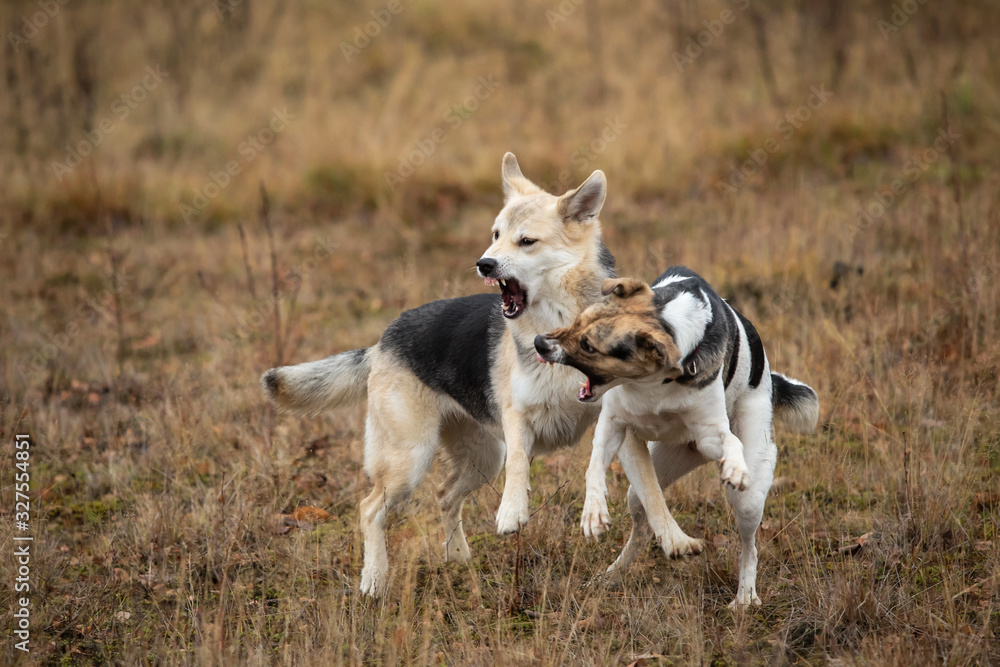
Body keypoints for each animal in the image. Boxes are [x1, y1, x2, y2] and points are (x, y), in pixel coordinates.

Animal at [536, 266, 816, 604]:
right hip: (652, 477)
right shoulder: (615, 424)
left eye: (589, 346)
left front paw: (735, 466)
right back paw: (614, 574)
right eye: (577, 321)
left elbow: (729, 441)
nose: (538, 342)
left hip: (748, 496)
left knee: (749, 547)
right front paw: (594, 513)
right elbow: (602, 470)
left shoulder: (711, 435)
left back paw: (745, 597)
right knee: (642, 522)